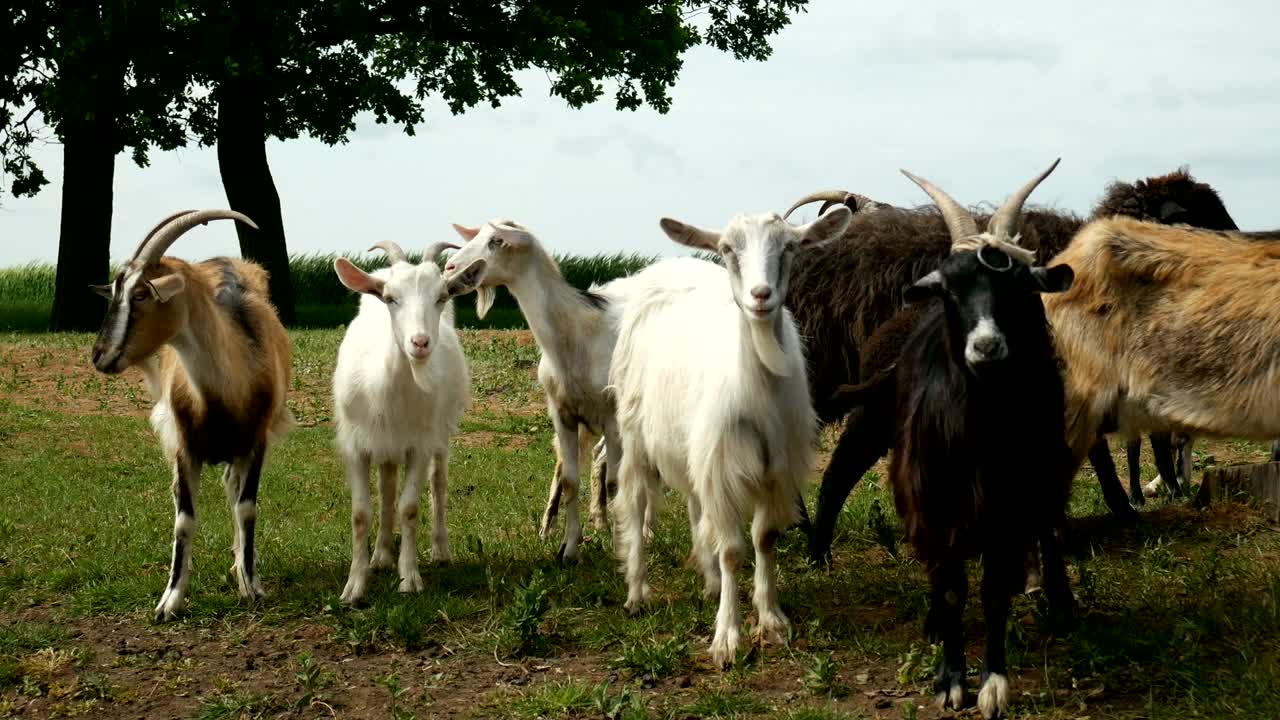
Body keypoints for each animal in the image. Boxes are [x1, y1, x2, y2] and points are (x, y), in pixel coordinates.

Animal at [89, 209, 294, 622]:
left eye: (140, 294)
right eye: (116, 291)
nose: (99, 356)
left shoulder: (256, 443)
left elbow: (246, 508)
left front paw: (251, 584)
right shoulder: (184, 448)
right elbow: (184, 520)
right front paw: (170, 601)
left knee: (234, 490)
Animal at [331, 241, 472, 605]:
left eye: (442, 296)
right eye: (390, 297)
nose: (420, 343)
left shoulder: (419, 444)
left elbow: (409, 507)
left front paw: (409, 577)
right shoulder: (355, 444)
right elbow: (360, 513)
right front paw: (354, 586)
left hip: (440, 431)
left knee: (438, 481)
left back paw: (440, 550)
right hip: (384, 443)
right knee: (387, 487)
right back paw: (381, 555)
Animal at [608, 205, 853, 668]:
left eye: (790, 246)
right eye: (726, 249)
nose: (760, 295)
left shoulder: (775, 468)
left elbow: (764, 538)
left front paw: (771, 619)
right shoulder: (722, 466)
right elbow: (733, 549)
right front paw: (727, 637)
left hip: (693, 443)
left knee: (693, 505)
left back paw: (709, 581)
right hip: (635, 431)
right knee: (635, 501)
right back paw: (636, 591)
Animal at [872, 162, 1075, 719]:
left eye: (1019, 286)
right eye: (950, 288)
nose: (986, 346)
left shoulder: (1009, 506)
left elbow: (993, 590)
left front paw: (993, 682)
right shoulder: (931, 506)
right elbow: (950, 591)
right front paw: (950, 678)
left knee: (1049, 528)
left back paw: (1060, 603)